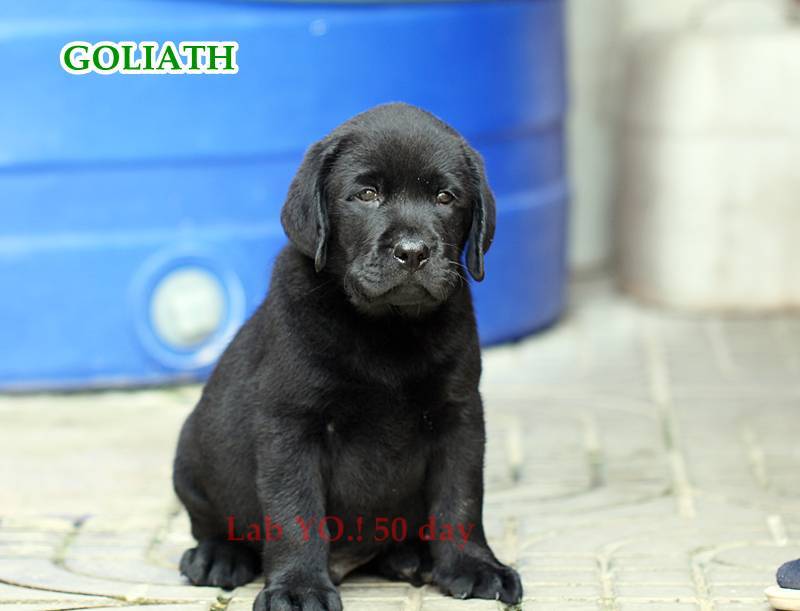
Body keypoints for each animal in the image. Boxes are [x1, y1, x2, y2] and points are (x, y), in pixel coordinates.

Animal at [173, 103, 523, 610]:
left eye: (445, 197)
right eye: (366, 194)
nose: (413, 252)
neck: (388, 328)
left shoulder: (459, 415)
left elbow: (460, 498)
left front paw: (474, 566)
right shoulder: (291, 424)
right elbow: (295, 511)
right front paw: (298, 587)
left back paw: (409, 555)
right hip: (192, 454)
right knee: (210, 522)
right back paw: (218, 556)